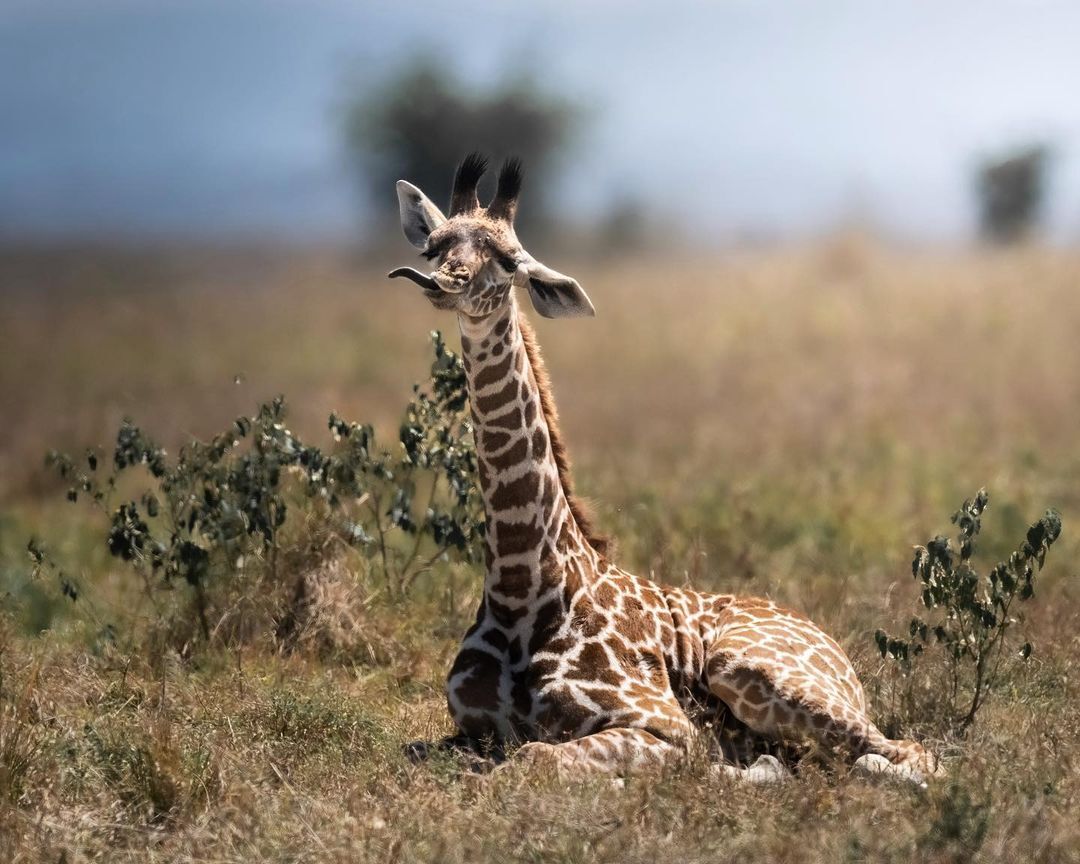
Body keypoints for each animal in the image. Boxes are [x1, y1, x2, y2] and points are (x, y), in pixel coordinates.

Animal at [388, 153, 937, 781]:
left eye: (509, 261)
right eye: (436, 245)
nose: (444, 283)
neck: (523, 586)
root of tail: (837, 650)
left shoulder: (664, 728)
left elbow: (532, 758)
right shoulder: (466, 728)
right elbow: (417, 750)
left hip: (744, 667)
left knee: (906, 755)